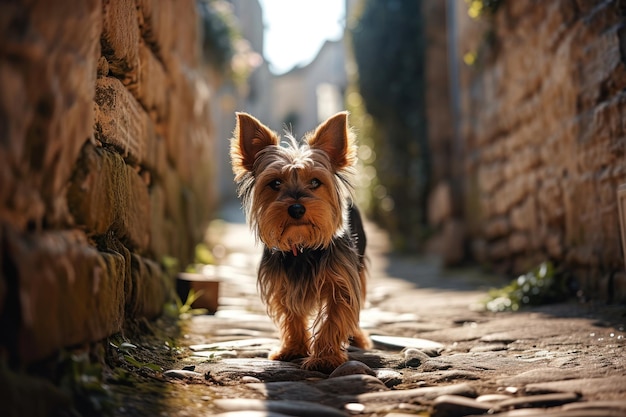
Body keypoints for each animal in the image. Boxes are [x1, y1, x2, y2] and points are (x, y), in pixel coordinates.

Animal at [230, 110, 370, 370]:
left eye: (315, 182)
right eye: (275, 183)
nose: (296, 208)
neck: (303, 246)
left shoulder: (342, 280)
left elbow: (336, 315)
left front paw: (325, 358)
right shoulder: (282, 284)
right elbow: (291, 315)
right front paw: (293, 349)